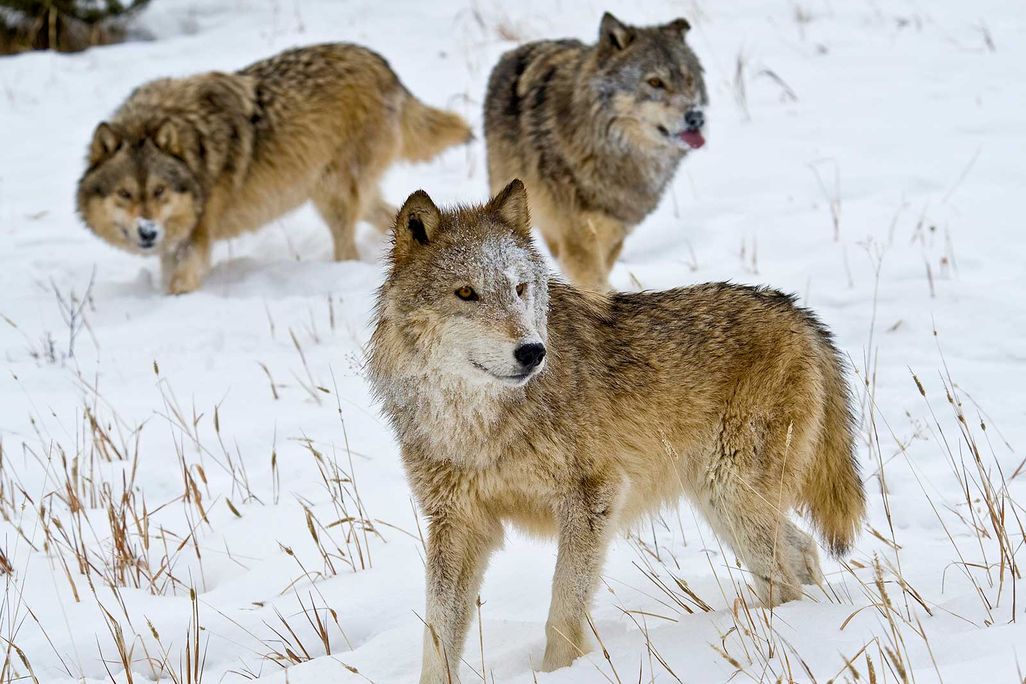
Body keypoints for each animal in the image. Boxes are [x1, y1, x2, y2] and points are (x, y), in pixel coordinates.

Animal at [76, 43, 472, 294]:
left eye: (159, 191)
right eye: (125, 194)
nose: (148, 232)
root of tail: (382, 65)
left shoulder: (196, 241)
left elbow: (179, 285)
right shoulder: (174, 245)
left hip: (332, 196)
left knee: (348, 244)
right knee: (386, 216)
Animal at [368, 180, 865, 683]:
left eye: (519, 288)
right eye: (466, 292)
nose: (532, 352)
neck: (479, 425)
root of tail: (796, 310)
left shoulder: (594, 497)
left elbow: (563, 612)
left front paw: (561, 671)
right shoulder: (457, 524)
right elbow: (437, 640)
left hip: (731, 495)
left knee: (785, 578)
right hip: (723, 502)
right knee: (802, 550)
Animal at [484, 13, 709, 291]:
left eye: (689, 80)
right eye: (655, 82)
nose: (696, 117)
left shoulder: (614, 231)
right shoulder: (576, 236)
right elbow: (591, 279)